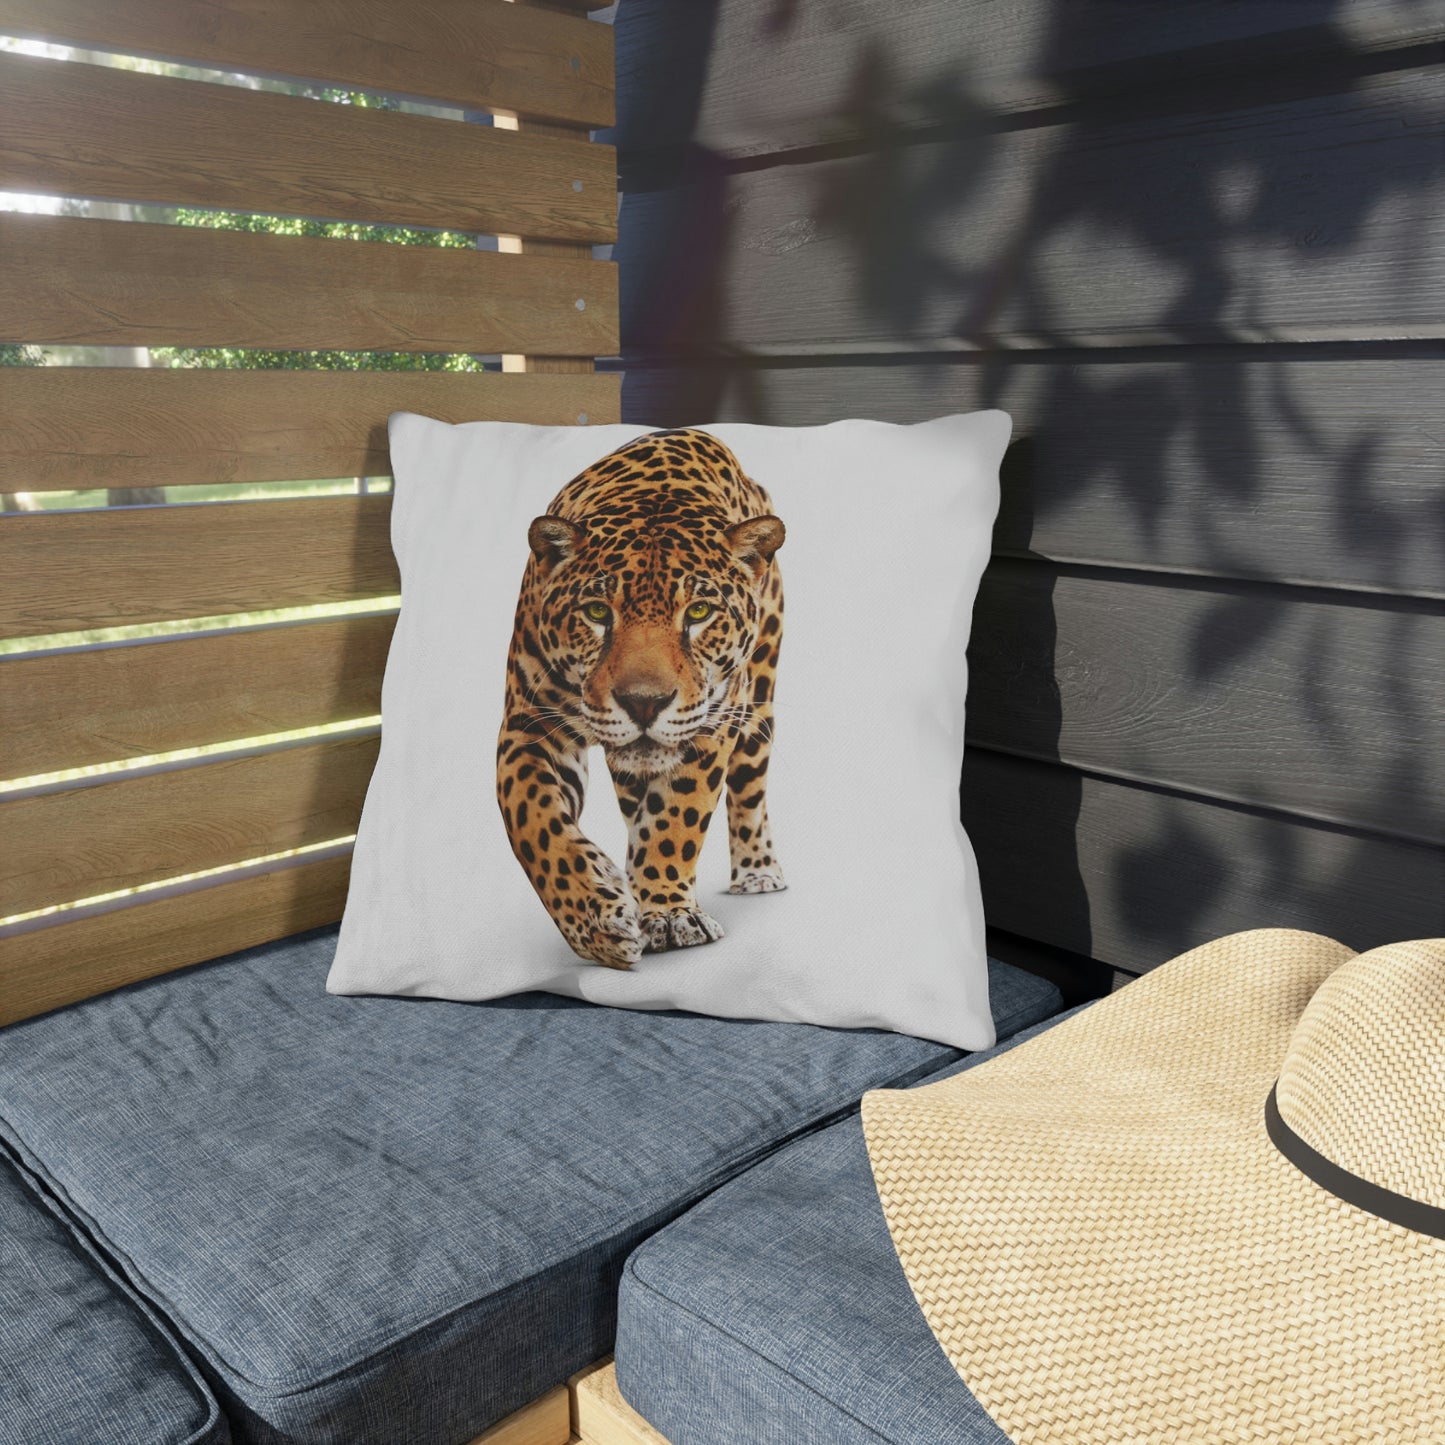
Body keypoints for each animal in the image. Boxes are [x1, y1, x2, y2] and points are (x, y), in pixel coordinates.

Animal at [496, 428, 786, 969]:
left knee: (750, 787)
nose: (645, 703)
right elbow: (532, 821)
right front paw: (596, 920)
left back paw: (758, 872)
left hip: (757, 702)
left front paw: (670, 914)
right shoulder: (530, 722)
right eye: (596, 611)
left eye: (699, 612)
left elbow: (678, 817)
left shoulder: (710, 725)